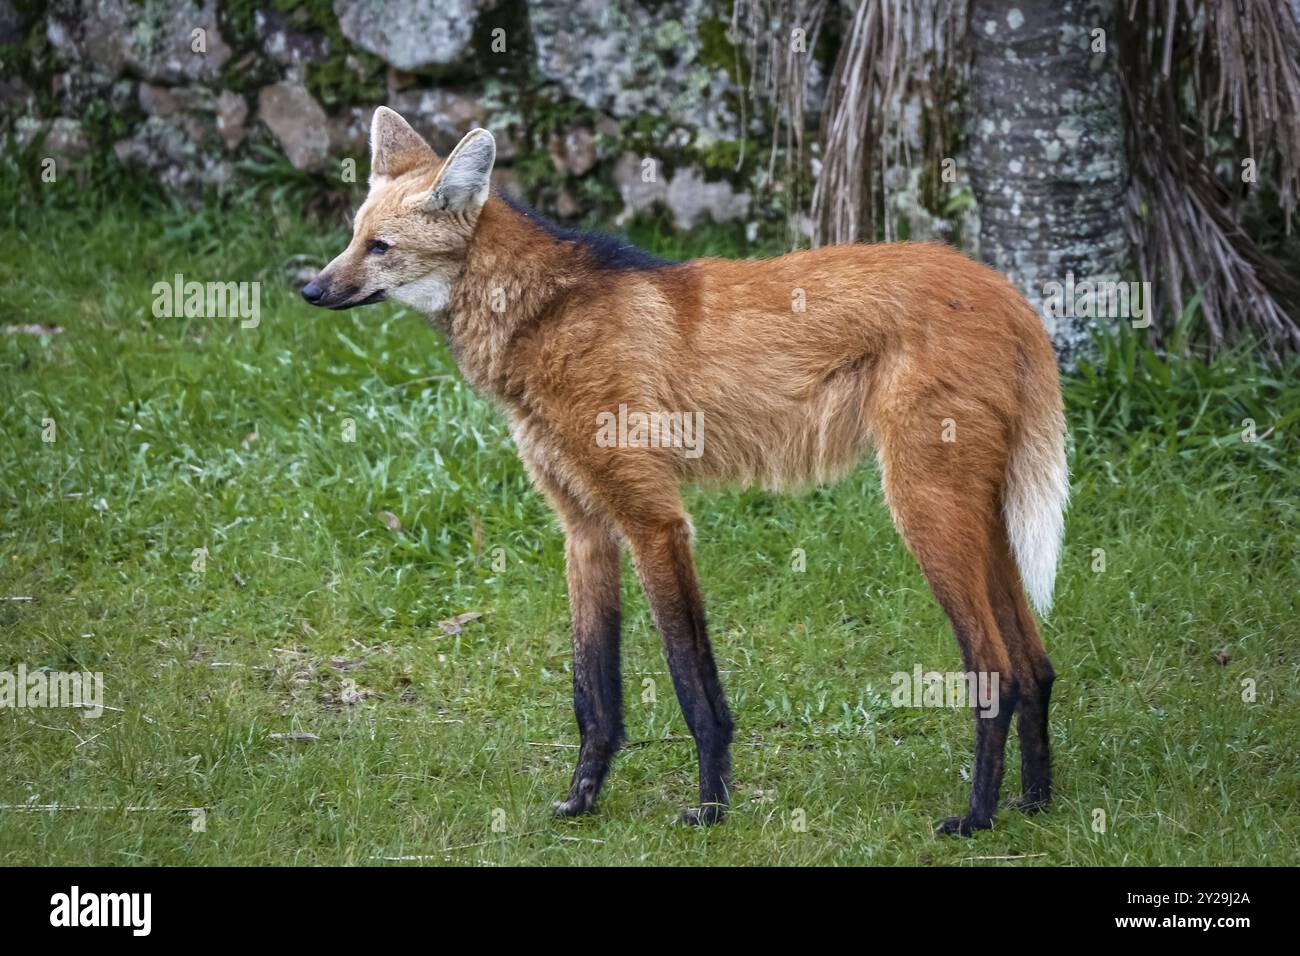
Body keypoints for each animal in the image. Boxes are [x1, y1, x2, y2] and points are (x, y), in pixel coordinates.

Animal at [304, 106, 1066, 837]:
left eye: (381, 247)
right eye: (354, 236)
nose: (311, 288)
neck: (540, 318)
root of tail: (1007, 291)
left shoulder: (655, 522)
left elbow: (691, 682)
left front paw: (711, 809)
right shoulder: (585, 529)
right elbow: (592, 691)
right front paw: (582, 801)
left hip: (924, 504)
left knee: (997, 668)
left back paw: (977, 817)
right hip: (976, 510)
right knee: (1036, 664)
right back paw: (1034, 804)